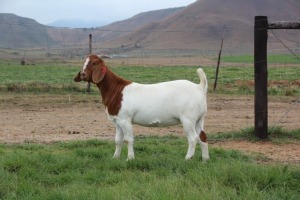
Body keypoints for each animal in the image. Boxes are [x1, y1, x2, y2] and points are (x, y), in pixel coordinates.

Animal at [74, 54, 210, 161]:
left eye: (95, 63)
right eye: (84, 62)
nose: (83, 74)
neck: (116, 89)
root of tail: (199, 87)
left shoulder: (125, 119)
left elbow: (128, 139)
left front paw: (130, 158)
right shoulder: (117, 121)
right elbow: (118, 139)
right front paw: (115, 157)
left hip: (188, 118)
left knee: (193, 138)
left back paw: (187, 158)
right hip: (199, 119)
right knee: (202, 136)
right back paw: (205, 159)